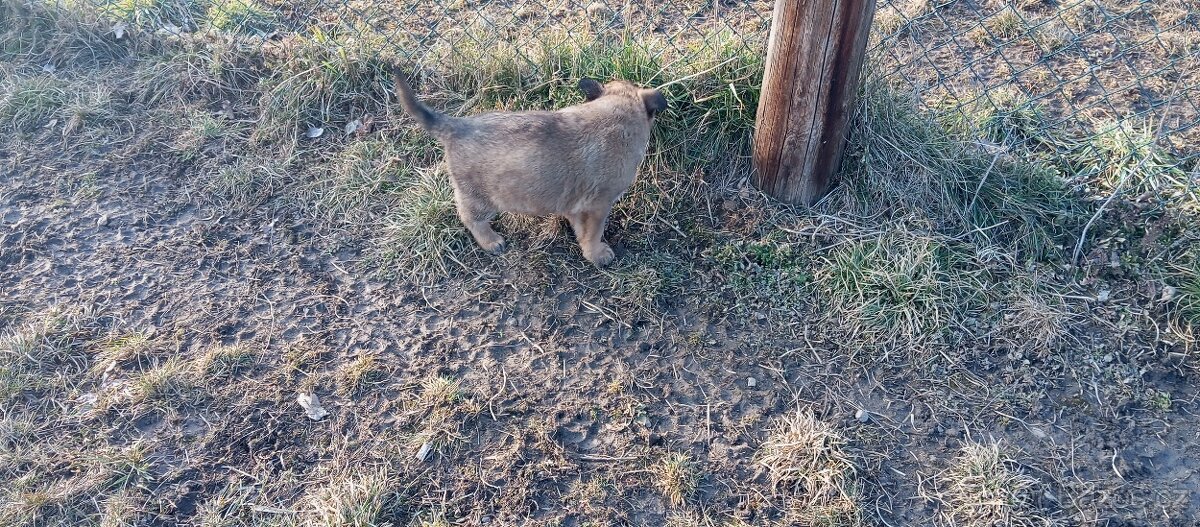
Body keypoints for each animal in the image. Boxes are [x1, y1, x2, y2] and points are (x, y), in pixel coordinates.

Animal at [393, 69, 667, 267]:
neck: (616, 112)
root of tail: (454, 125)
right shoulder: (599, 205)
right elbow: (593, 233)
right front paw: (597, 254)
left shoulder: (576, 204)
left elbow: (580, 228)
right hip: (480, 197)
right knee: (470, 218)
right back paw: (491, 241)